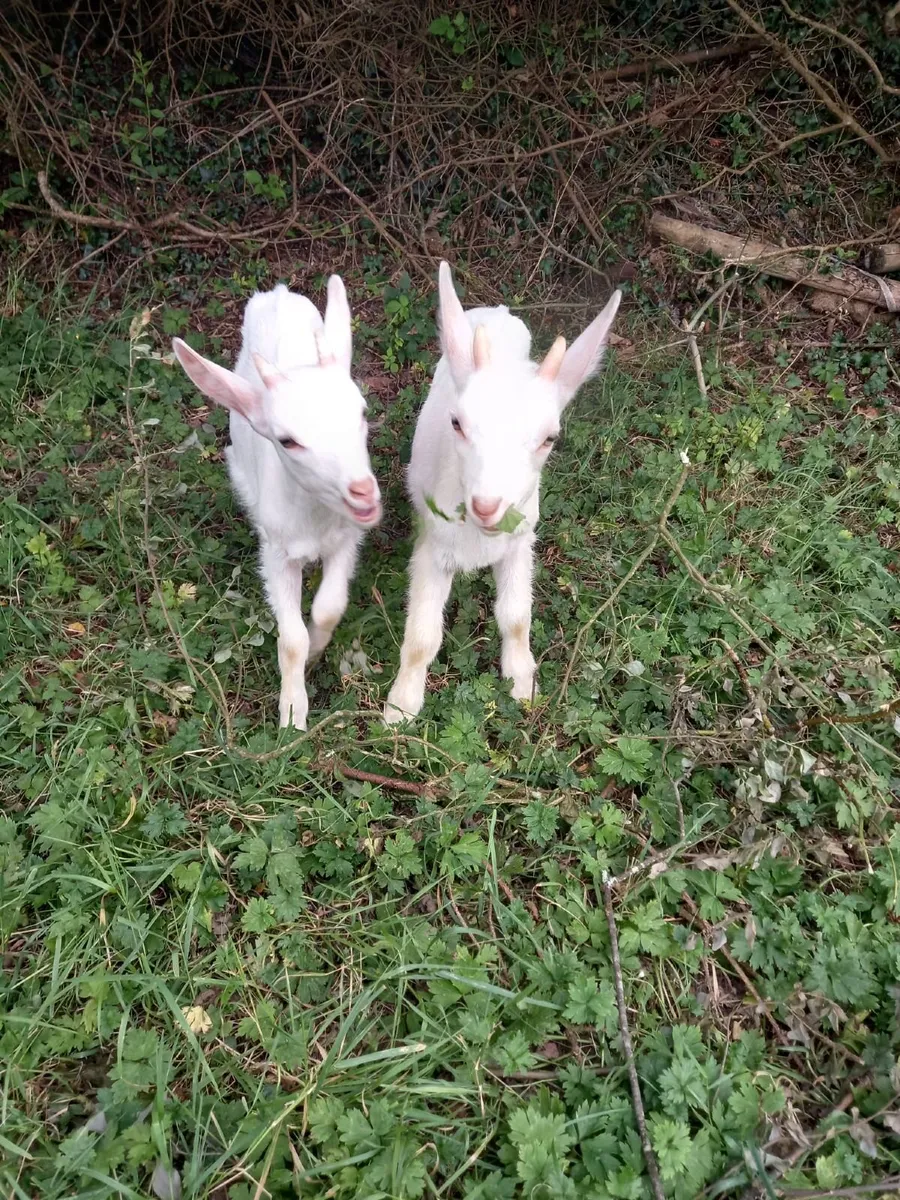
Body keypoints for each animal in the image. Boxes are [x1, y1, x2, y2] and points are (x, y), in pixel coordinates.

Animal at [172, 278, 381, 729]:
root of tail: (280, 292)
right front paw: (291, 713)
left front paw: (318, 651)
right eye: (287, 441)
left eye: (362, 412)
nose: (363, 491)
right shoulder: (276, 552)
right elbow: (291, 638)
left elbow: (329, 608)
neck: (314, 520)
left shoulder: (347, 539)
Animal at [384, 262, 620, 724]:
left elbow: (515, 617)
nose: (487, 506)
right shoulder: (432, 549)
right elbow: (422, 635)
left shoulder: (521, 541)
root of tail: (498, 311)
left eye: (550, 438)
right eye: (457, 423)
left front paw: (522, 683)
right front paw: (400, 708)